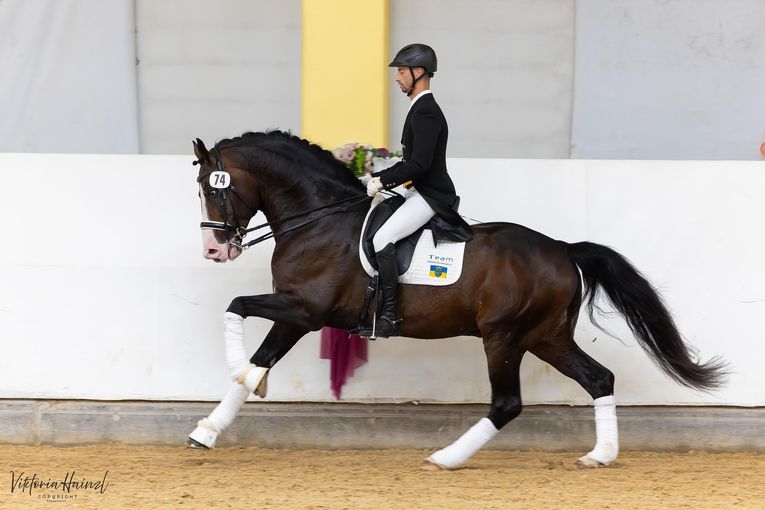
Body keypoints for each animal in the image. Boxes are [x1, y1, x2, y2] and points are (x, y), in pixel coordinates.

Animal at [187, 130, 726, 469]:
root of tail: (561, 249)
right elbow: (258, 351)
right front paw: (208, 430)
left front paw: (241, 375)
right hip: (546, 336)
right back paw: (601, 455)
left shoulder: (305, 310)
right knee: (599, 379)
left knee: (507, 403)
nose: (214, 249)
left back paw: (446, 458)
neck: (319, 219)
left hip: (504, 337)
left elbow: (236, 306)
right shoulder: (297, 312)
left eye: (215, 188)